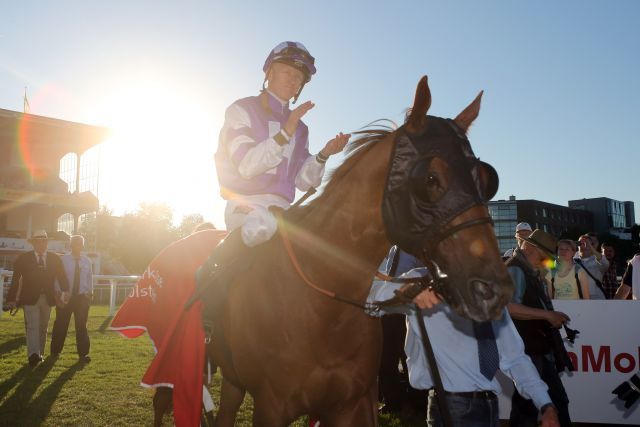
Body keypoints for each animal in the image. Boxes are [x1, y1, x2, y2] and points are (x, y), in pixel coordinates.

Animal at [210, 77, 516, 427]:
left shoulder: (351, 404)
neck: (322, 304)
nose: (494, 290)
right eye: (429, 178)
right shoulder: (271, 406)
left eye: (485, 179)